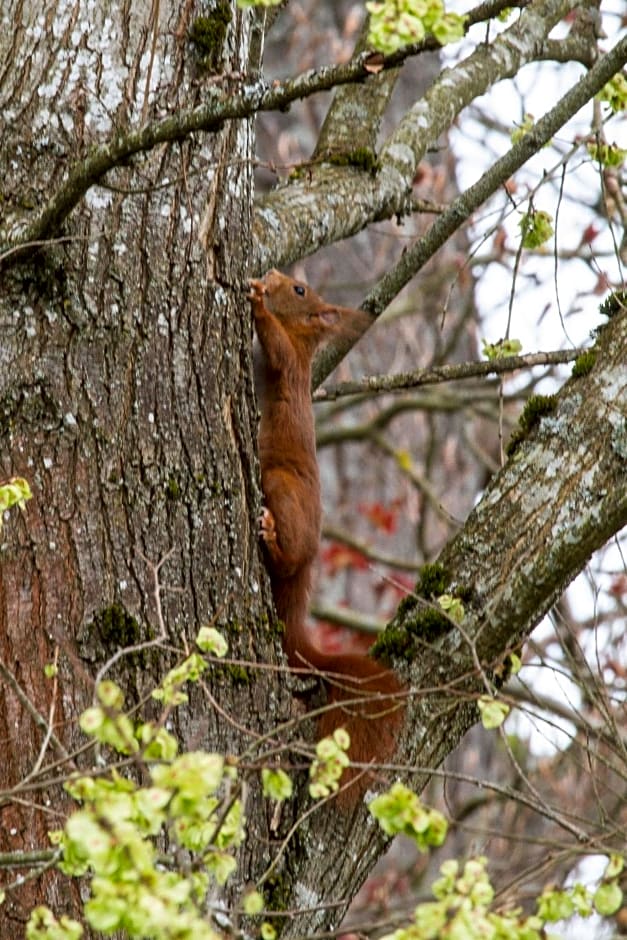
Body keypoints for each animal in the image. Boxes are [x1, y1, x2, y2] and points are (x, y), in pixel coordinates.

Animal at [248, 270, 404, 800]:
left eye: (299, 291)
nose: (273, 275)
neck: (305, 338)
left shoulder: (291, 365)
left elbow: (275, 348)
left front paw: (257, 303)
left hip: (280, 485)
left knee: (287, 557)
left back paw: (272, 537)